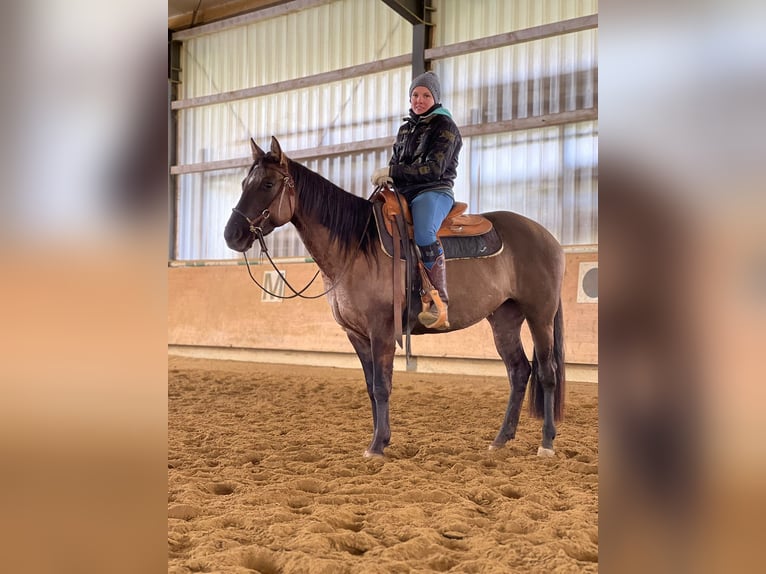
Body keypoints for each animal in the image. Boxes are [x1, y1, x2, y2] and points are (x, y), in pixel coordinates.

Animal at [224, 136, 566, 458]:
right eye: (243, 184)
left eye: (268, 184)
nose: (232, 235)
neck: (356, 245)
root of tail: (547, 237)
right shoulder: (356, 334)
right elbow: (370, 387)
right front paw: (380, 440)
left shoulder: (382, 330)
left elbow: (382, 385)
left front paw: (377, 446)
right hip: (504, 318)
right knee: (519, 371)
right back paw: (500, 440)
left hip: (540, 316)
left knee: (547, 372)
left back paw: (547, 443)